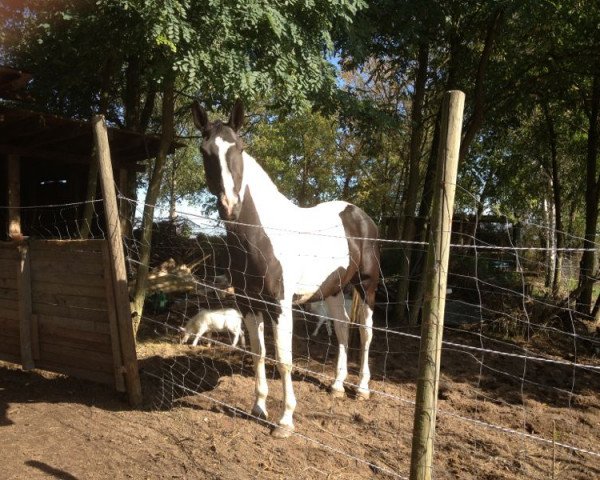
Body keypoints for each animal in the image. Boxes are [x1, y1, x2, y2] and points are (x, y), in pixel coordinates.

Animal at [192, 98, 380, 438]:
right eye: (205, 150)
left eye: (239, 147)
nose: (230, 205)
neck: (260, 237)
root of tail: (360, 216)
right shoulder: (249, 304)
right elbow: (259, 354)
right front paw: (258, 407)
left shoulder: (280, 305)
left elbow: (284, 359)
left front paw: (285, 421)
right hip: (333, 290)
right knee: (342, 328)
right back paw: (336, 385)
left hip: (367, 286)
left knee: (365, 332)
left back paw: (361, 389)